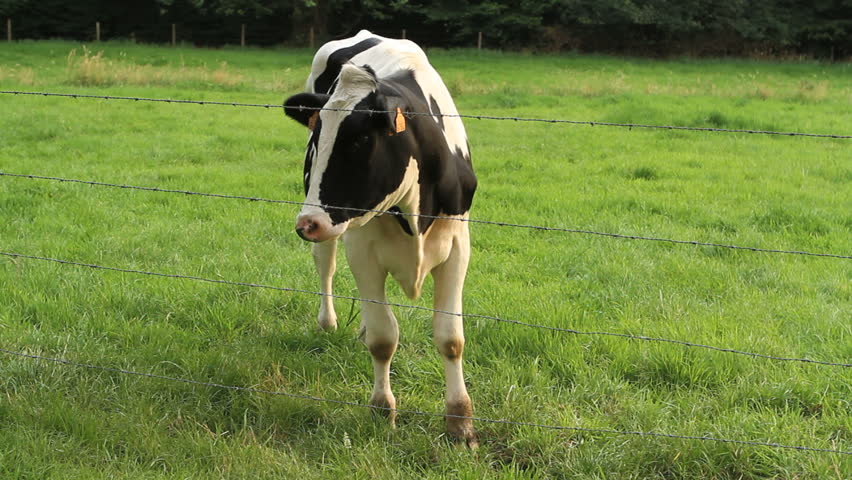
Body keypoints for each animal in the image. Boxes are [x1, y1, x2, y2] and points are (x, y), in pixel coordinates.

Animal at [282, 30, 477, 446]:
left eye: (359, 141)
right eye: (316, 138)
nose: (306, 223)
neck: (415, 211)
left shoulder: (457, 245)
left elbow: (450, 338)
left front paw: (460, 423)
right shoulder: (363, 249)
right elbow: (384, 338)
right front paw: (382, 411)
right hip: (333, 228)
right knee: (326, 265)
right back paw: (329, 322)